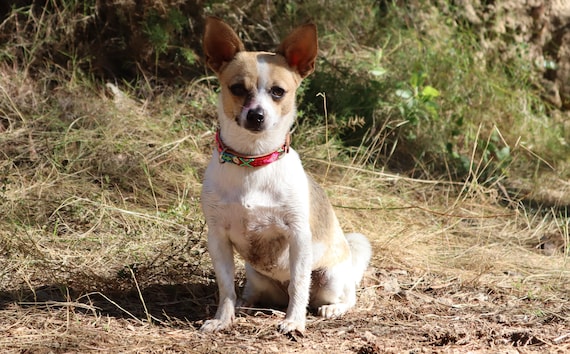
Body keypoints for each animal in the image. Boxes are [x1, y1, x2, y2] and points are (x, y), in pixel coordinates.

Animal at [200, 15, 372, 334]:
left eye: (278, 92)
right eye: (237, 88)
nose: (257, 115)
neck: (252, 161)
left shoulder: (299, 238)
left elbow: (299, 285)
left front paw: (294, 321)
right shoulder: (217, 238)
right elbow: (225, 287)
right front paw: (222, 319)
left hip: (330, 278)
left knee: (344, 295)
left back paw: (332, 308)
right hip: (256, 276)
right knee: (249, 292)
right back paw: (245, 306)